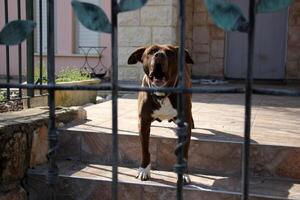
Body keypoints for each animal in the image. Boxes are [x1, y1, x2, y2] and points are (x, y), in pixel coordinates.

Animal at [127, 44, 195, 184]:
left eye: (169, 52)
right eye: (151, 51)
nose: (159, 55)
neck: (162, 94)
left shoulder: (185, 125)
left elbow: (184, 152)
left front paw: (183, 174)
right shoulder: (143, 123)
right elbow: (145, 150)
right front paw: (144, 170)